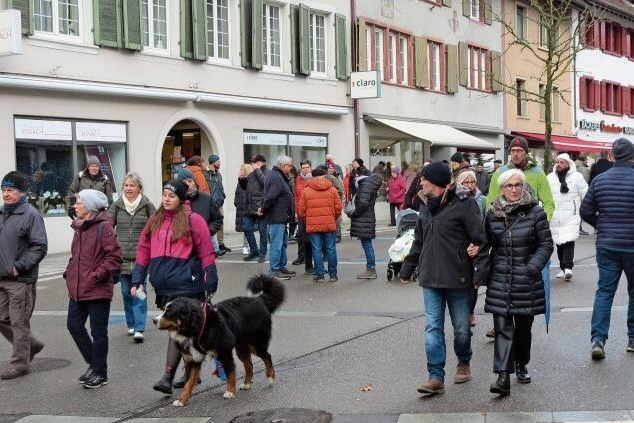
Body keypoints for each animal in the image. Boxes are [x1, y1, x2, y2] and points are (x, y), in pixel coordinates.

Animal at [156, 274, 286, 408]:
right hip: (241, 347)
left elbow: (230, 373)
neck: (198, 327)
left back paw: (270, 377)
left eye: (168, 312)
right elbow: (188, 383)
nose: (154, 321)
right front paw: (182, 400)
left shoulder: (224, 352)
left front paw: (230, 392)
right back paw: (247, 383)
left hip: (255, 343)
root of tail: (260, 300)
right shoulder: (194, 359)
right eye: (164, 310)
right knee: (249, 364)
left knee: (267, 357)